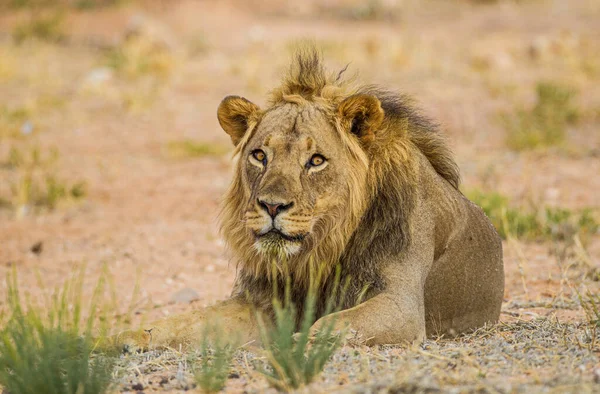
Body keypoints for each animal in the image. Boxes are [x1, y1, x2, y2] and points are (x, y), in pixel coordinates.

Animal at [112, 47, 502, 352]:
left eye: (315, 161)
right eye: (259, 156)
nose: (271, 206)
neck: (320, 250)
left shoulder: (401, 306)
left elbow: (333, 323)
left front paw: (297, 344)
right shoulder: (262, 303)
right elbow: (191, 320)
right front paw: (128, 337)